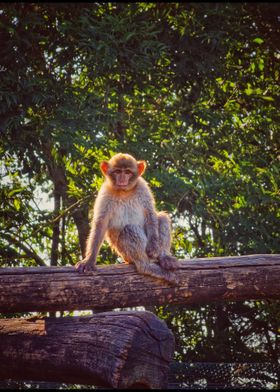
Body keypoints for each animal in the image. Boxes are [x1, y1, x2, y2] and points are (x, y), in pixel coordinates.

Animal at [76, 152, 179, 284]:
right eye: (118, 171)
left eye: (128, 172)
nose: (122, 179)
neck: (124, 192)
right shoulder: (105, 194)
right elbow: (100, 225)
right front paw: (88, 261)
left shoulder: (143, 187)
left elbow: (150, 214)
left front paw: (154, 247)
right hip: (125, 254)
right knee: (129, 229)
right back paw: (147, 266)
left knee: (161, 218)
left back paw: (165, 258)